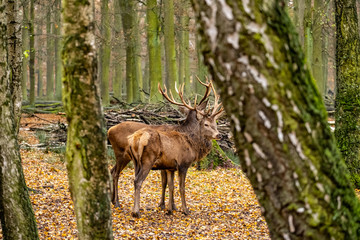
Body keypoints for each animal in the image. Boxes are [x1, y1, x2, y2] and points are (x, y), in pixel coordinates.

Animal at [107, 79, 214, 210]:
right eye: (203, 113)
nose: (209, 115)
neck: (184, 132)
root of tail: (109, 130)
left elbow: (167, 183)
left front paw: (169, 206)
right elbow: (166, 183)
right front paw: (168, 206)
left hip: (126, 157)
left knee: (112, 171)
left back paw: (113, 200)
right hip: (121, 154)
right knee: (116, 173)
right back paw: (117, 202)